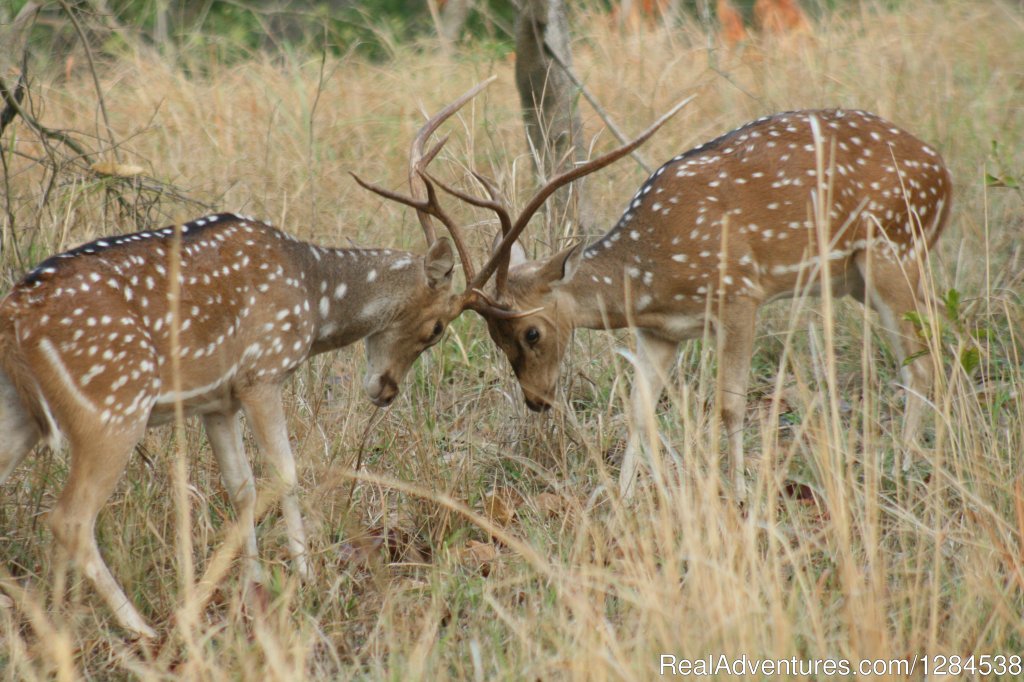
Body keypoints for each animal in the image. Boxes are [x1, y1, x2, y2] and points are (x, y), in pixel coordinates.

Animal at [471, 109, 950, 497]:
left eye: (532, 332)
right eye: (494, 339)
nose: (537, 400)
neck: (648, 278)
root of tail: (944, 174)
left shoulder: (739, 294)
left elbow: (729, 405)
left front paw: (739, 492)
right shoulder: (659, 333)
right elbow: (639, 411)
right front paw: (620, 498)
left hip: (892, 249)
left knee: (919, 365)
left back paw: (904, 467)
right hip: (862, 277)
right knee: (934, 331)